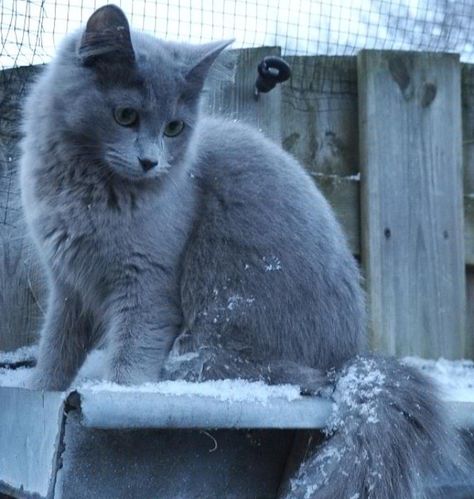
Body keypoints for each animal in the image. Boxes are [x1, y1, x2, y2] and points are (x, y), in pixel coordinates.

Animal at [21, 4, 466, 499]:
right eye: (125, 115)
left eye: (174, 127)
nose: (151, 161)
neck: (89, 191)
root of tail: (352, 357)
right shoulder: (68, 285)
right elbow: (56, 349)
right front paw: (40, 389)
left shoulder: (148, 286)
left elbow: (130, 357)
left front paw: (115, 391)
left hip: (222, 303)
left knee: (278, 375)